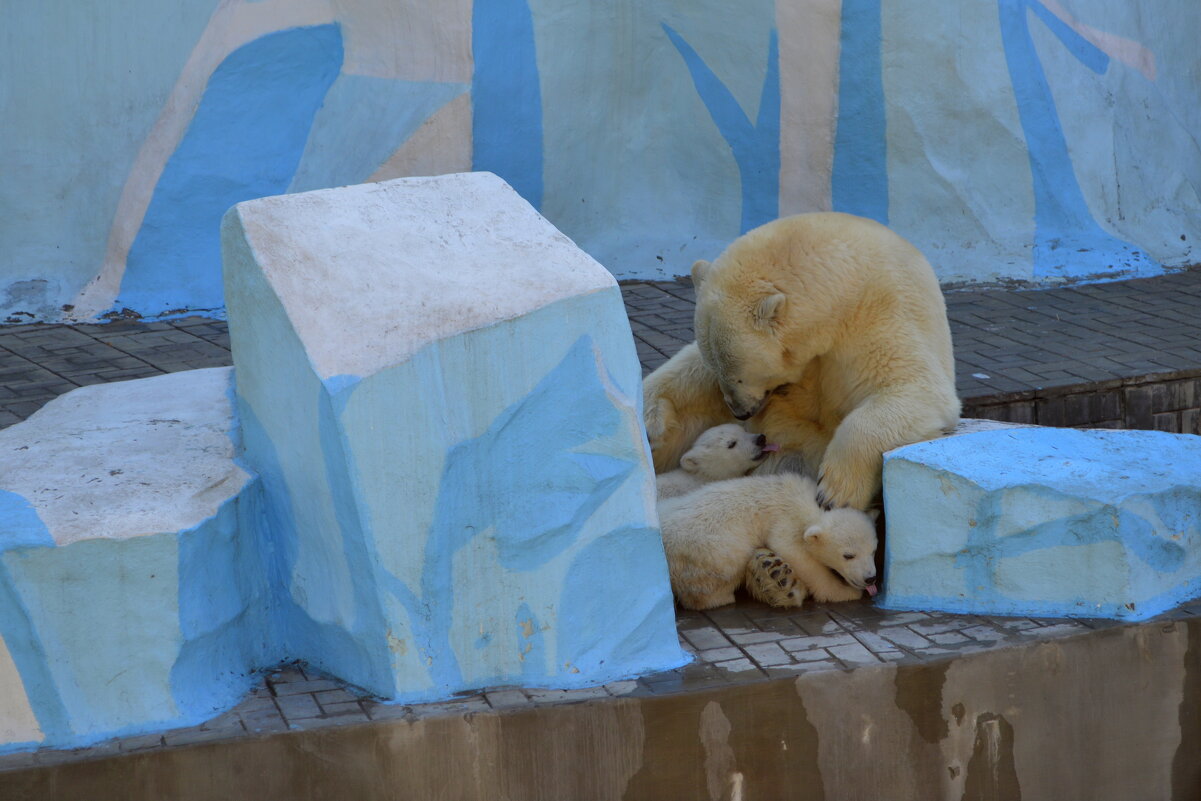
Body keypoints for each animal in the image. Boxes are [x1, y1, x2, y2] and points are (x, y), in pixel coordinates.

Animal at [643, 212, 960, 511]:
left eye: (739, 376)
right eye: (719, 369)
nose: (740, 412)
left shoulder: (879, 313)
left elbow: (912, 386)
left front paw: (835, 492)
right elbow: (689, 372)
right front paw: (652, 422)